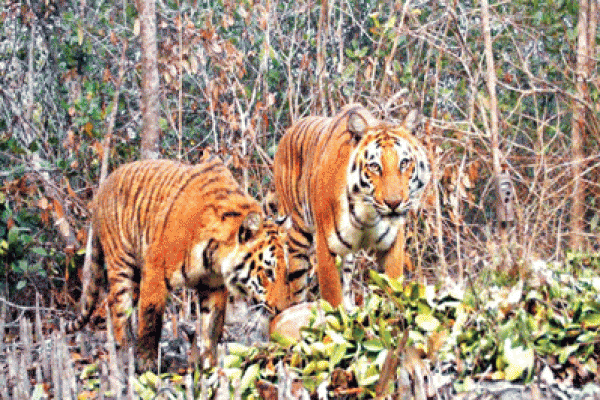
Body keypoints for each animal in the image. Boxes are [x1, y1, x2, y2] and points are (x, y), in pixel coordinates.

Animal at [66, 155, 290, 368]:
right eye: (268, 272)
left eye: (285, 273)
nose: (282, 309)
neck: (215, 255)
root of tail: (103, 187)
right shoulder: (155, 271)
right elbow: (150, 319)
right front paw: (146, 364)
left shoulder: (214, 285)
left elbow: (211, 327)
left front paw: (209, 365)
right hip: (121, 265)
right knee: (118, 309)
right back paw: (126, 354)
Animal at [272, 104, 432, 310]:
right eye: (374, 166)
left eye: (404, 163)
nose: (394, 203)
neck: (368, 214)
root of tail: (288, 131)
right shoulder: (326, 247)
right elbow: (332, 302)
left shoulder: (392, 246)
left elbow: (393, 291)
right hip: (297, 236)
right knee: (296, 285)